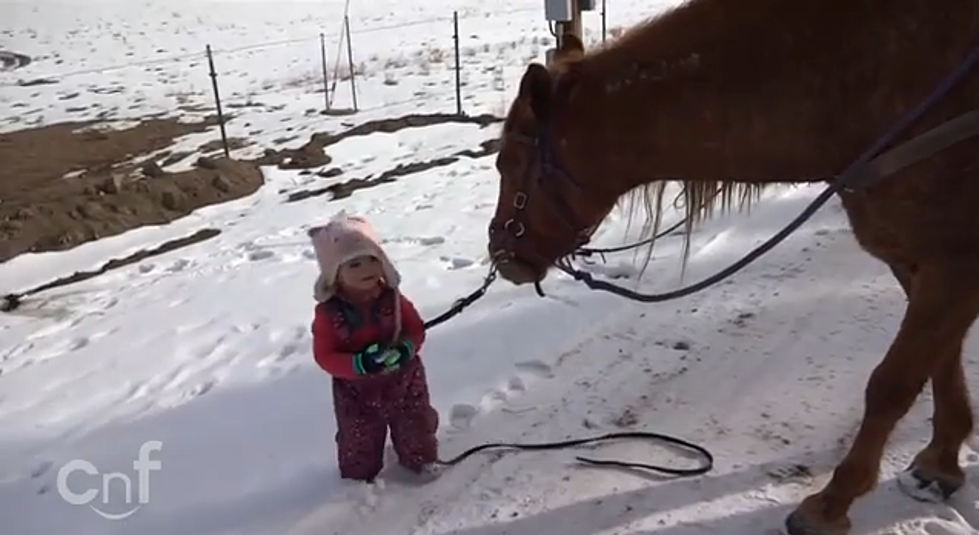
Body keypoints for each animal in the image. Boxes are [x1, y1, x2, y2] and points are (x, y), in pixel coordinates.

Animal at [488, 1, 979, 535]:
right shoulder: (923, 264)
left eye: (507, 161)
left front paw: (830, 505)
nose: (499, 251)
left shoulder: (952, 267)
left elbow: (891, 385)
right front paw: (941, 463)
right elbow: (939, 363)